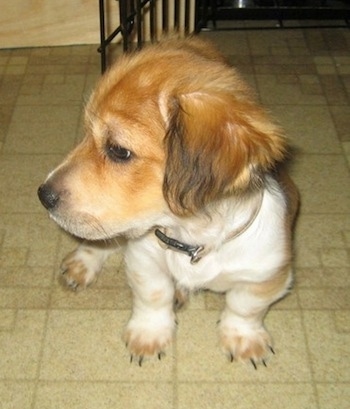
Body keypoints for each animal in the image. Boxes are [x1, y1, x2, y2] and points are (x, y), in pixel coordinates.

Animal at [37, 36, 298, 364]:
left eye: (118, 150)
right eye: (85, 133)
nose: (43, 195)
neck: (192, 240)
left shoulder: (267, 275)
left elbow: (244, 307)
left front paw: (243, 338)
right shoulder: (144, 259)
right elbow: (153, 294)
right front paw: (149, 333)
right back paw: (84, 261)